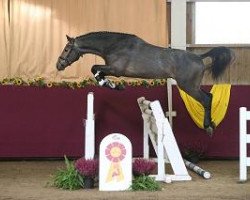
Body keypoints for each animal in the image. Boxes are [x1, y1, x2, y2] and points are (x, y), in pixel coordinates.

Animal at [56, 31, 234, 136]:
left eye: (66, 49)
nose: (58, 65)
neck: (114, 45)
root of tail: (198, 57)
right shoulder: (112, 69)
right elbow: (96, 71)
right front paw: (114, 85)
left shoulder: (115, 69)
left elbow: (95, 69)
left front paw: (111, 84)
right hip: (192, 86)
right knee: (209, 95)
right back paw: (211, 124)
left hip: (188, 86)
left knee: (206, 99)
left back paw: (208, 127)